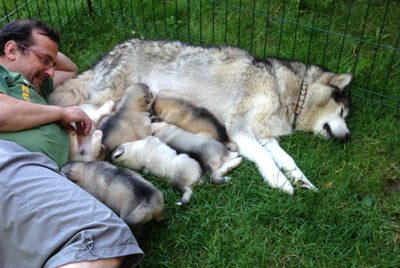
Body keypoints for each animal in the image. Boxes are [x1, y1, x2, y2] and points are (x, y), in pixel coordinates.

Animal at [50, 38, 354, 193]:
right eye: (343, 112)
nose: (348, 137)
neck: (288, 91)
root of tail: (111, 52)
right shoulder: (241, 130)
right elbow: (267, 159)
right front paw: (280, 182)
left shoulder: (265, 136)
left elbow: (287, 159)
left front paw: (301, 180)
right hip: (110, 97)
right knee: (83, 113)